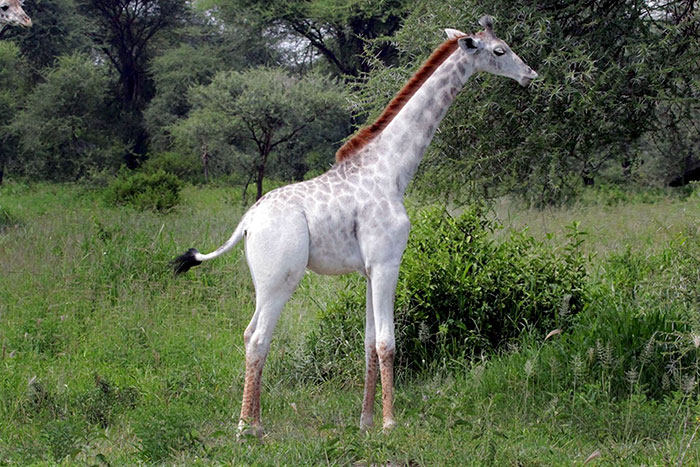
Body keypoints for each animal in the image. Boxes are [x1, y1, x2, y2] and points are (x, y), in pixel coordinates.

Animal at [174, 15, 536, 438]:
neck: (392, 170)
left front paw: (365, 422)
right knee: (260, 337)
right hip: (280, 278)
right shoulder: (386, 263)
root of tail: (247, 221)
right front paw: (390, 423)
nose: (530, 75)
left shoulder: (367, 270)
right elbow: (387, 342)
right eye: (500, 50)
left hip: (263, 282)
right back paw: (246, 429)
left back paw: (256, 423)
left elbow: (366, 342)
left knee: (250, 334)